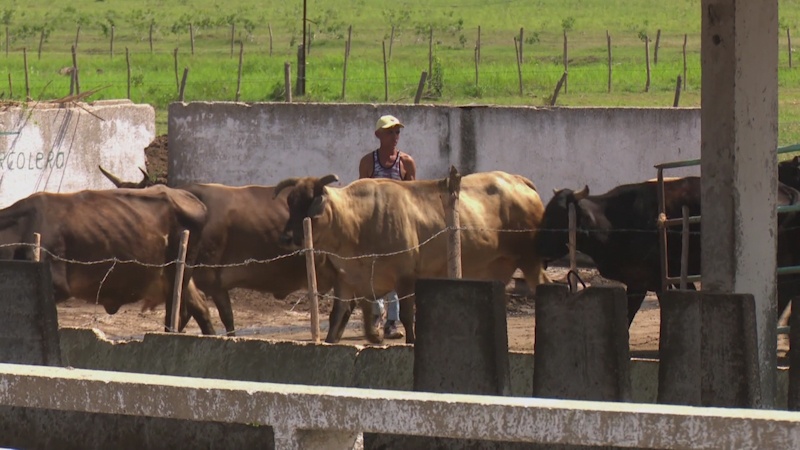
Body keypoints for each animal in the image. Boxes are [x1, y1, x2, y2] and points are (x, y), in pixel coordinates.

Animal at [274, 171, 552, 342]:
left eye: (309, 203)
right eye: (290, 201)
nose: (286, 238)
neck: (358, 221)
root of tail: (518, 180)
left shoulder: (406, 277)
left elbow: (407, 315)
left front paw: (411, 341)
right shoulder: (347, 280)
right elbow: (339, 316)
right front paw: (336, 341)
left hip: (530, 260)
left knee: (543, 286)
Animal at [536, 176, 800, 326]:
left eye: (557, 216)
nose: (537, 245)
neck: (613, 221)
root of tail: (786, 189)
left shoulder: (652, 279)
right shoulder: (641, 281)